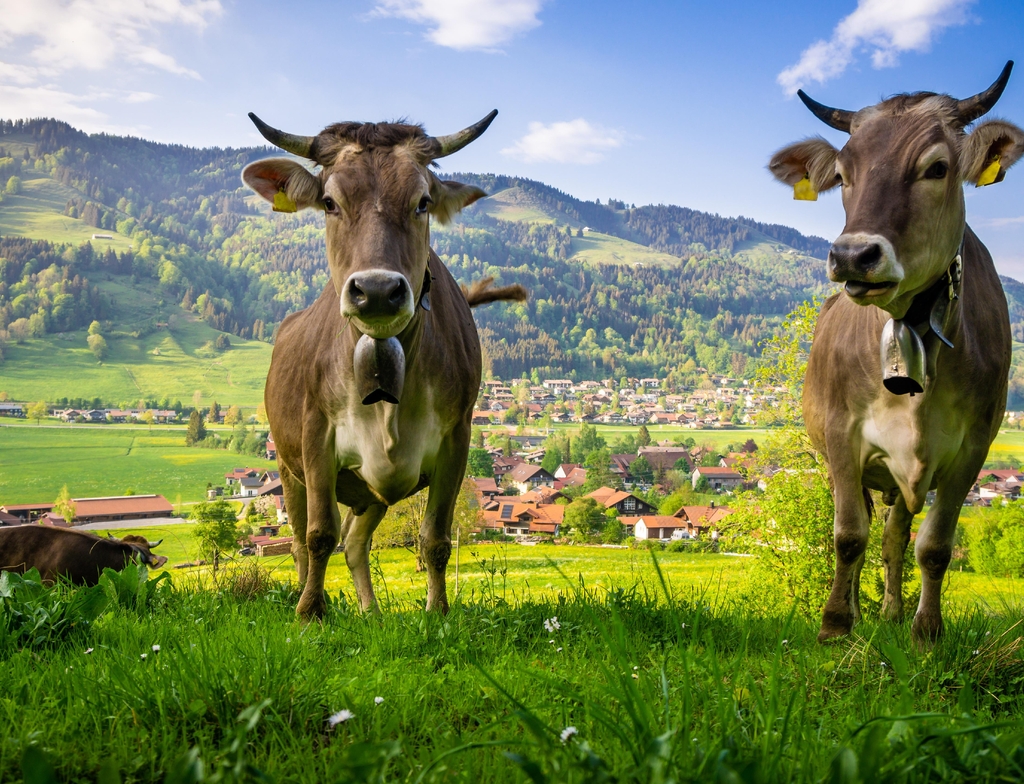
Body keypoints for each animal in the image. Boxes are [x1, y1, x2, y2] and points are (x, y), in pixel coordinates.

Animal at [241, 111, 526, 619]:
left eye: (422, 202)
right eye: (329, 202)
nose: (375, 290)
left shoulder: (457, 438)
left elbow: (435, 538)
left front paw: (438, 613)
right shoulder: (316, 435)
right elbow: (319, 535)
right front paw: (310, 613)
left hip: (370, 492)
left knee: (356, 543)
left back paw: (371, 612)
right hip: (289, 469)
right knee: (300, 542)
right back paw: (307, 595)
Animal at [768, 62, 1023, 645]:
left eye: (937, 168)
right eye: (843, 176)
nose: (852, 255)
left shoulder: (972, 448)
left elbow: (933, 547)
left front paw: (926, 630)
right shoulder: (841, 435)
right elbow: (847, 536)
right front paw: (836, 624)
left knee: (894, 537)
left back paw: (889, 612)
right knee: (869, 533)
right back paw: (862, 614)